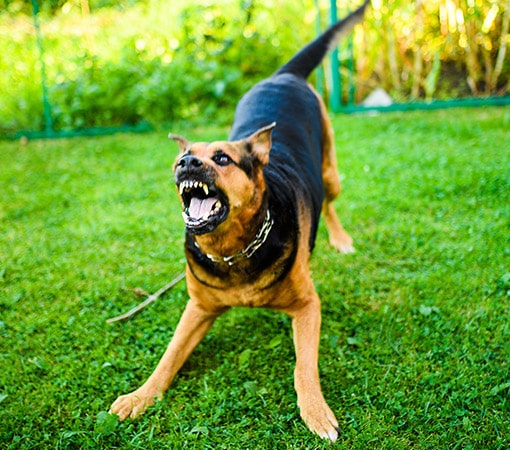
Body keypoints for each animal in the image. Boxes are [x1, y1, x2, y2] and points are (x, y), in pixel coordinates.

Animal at [109, 1, 368, 442]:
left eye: (222, 158)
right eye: (183, 157)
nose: (186, 163)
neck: (232, 248)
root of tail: (283, 75)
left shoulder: (307, 306)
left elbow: (304, 367)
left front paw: (316, 413)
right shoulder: (198, 308)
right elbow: (168, 357)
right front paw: (140, 396)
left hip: (330, 170)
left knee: (330, 201)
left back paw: (340, 238)